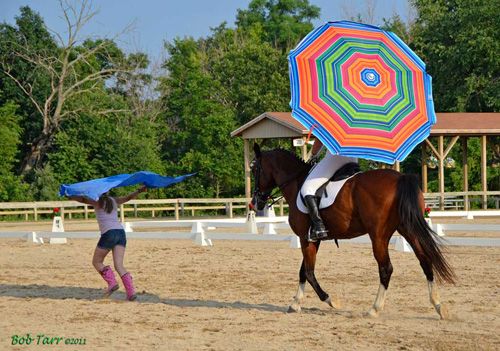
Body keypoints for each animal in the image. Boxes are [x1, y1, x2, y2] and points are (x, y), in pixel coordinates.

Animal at [252, 144, 456, 320]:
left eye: (254, 170)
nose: (255, 202)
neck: (296, 183)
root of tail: (400, 178)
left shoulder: (305, 237)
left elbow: (309, 272)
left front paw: (330, 300)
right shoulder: (312, 238)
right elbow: (303, 271)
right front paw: (295, 304)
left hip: (379, 236)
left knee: (386, 268)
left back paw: (374, 309)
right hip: (408, 229)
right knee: (425, 260)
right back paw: (438, 306)